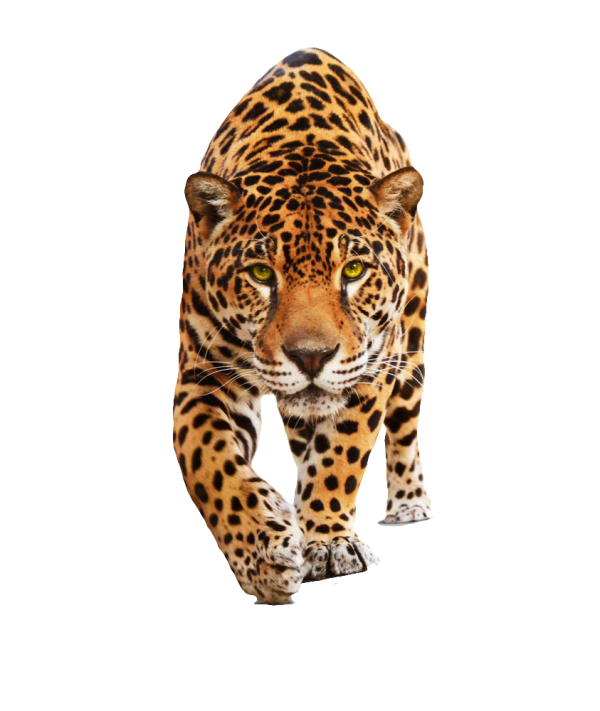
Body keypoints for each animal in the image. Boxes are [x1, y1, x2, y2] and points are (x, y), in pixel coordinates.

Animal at [173, 46, 430, 605]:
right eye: (260, 274)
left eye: (353, 271)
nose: (311, 356)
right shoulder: (202, 378)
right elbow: (209, 464)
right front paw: (263, 554)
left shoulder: (368, 368)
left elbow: (340, 454)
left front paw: (328, 542)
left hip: (411, 350)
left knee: (403, 427)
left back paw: (407, 503)